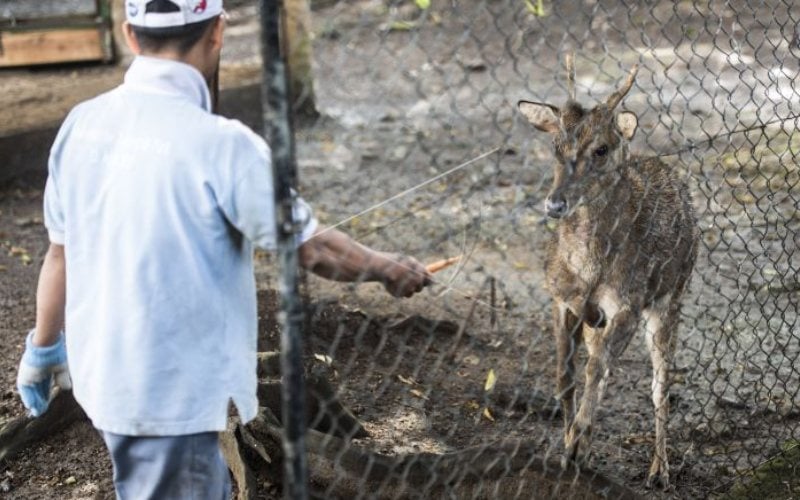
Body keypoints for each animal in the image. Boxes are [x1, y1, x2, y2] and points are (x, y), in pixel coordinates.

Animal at [516, 55, 696, 488]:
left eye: (601, 149)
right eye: (556, 145)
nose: (555, 204)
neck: (588, 270)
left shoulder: (627, 305)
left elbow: (595, 370)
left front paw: (575, 447)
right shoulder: (561, 301)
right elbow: (565, 377)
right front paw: (570, 444)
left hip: (671, 297)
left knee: (660, 384)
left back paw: (659, 470)